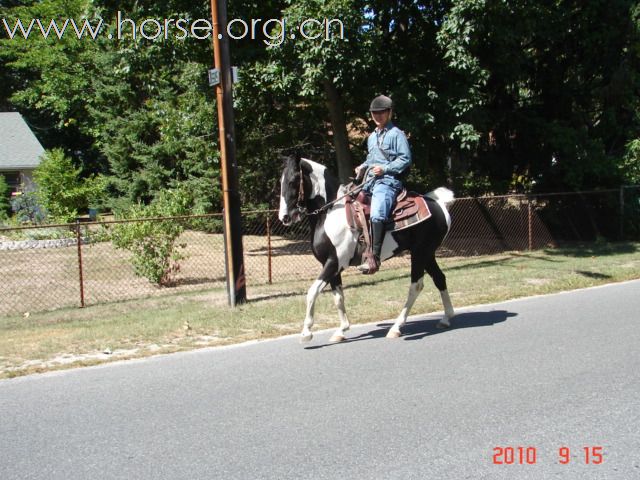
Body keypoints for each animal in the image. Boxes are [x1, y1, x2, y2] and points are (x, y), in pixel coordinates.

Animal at [278, 154, 456, 342]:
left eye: (293, 181)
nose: (284, 217)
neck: (331, 212)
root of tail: (438, 204)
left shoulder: (334, 263)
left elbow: (313, 291)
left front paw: (306, 332)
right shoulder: (331, 266)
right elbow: (338, 297)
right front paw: (341, 330)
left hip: (420, 253)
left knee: (416, 286)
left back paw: (396, 327)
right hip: (427, 254)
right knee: (439, 278)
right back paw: (446, 318)